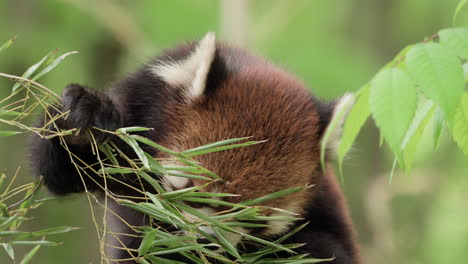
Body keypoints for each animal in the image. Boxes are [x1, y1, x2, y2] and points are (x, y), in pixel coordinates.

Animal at [29, 33, 360, 264]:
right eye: (194, 191)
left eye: (253, 220)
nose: (209, 241)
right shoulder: (135, 111)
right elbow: (65, 172)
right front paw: (86, 113)